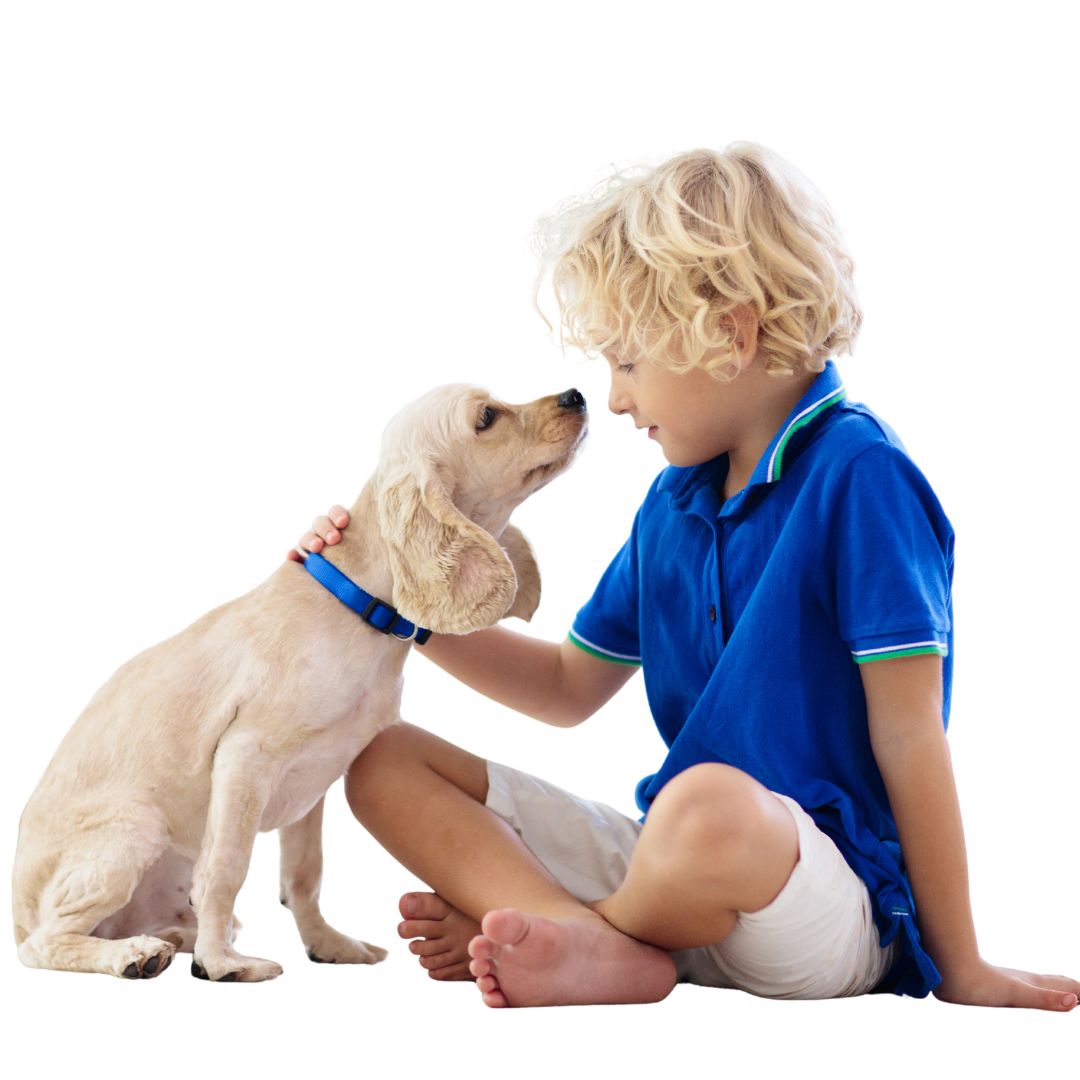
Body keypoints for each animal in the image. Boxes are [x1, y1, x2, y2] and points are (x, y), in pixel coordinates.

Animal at [13, 383, 588, 981]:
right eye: (487, 417)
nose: (576, 395)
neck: (361, 610)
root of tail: (16, 916)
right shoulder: (245, 757)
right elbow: (227, 869)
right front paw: (221, 964)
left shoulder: (316, 779)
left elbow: (304, 875)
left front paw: (327, 945)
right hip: (134, 828)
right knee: (46, 944)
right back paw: (138, 955)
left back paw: (171, 938)